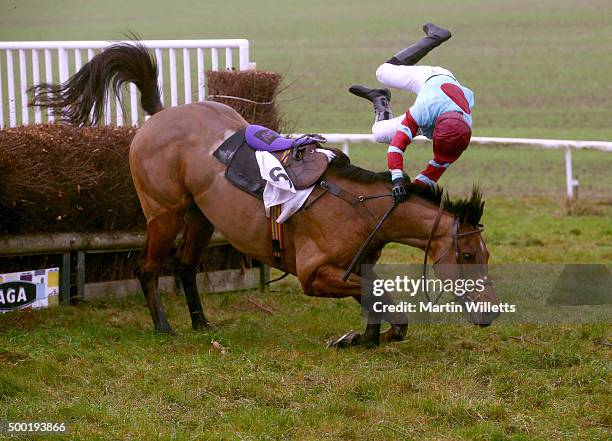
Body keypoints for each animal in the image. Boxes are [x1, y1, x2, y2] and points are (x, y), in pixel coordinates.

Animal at [31, 41, 500, 346]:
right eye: (468, 255)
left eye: (486, 255)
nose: (492, 312)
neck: (363, 210)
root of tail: (161, 115)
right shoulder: (314, 274)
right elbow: (376, 292)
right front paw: (381, 330)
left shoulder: (350, 266)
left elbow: (372, 294)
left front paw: (367, 335)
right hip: (164, 211)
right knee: (147, 268)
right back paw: (164, 327)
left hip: (202, 215)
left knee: (185, 266)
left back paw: (202, 324)